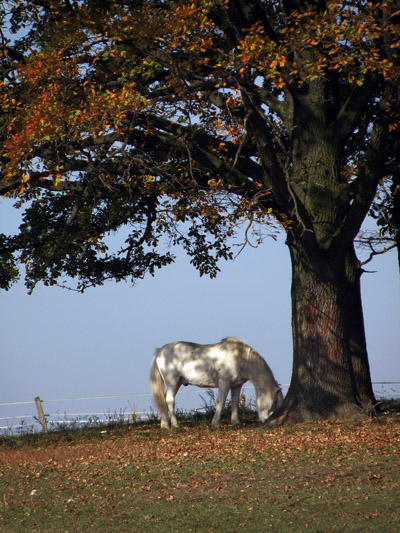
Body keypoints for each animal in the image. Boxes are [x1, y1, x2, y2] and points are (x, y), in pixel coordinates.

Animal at [150, 336, 284, 428]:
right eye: (274, 402)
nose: (270, 422)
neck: (238, 358)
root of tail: (160, 350)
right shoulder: (224, 383)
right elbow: (221, 402)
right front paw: (216, 423)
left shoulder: (236, 385)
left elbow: (235, 402)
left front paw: (235, 422)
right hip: (172, 382)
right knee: (170, 400)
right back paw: (174, 424)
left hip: (177, 383)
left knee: (164, 399)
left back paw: (164, 424)